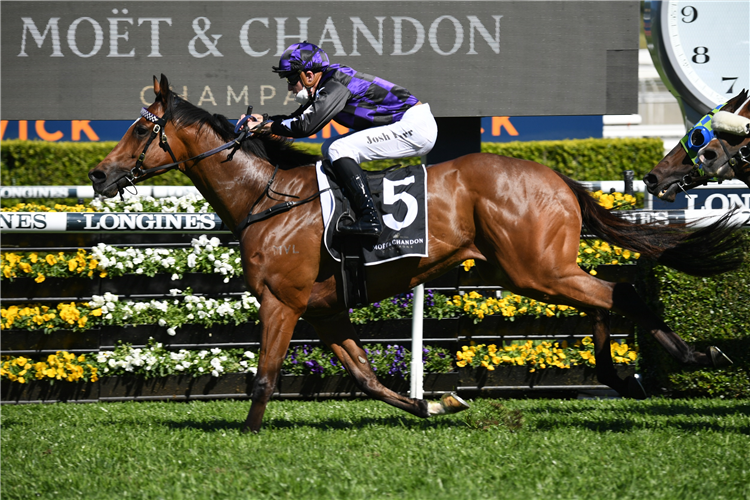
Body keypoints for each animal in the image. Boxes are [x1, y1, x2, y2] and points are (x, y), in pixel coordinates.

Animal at [91, 75, 744, 434]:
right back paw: (632, 371)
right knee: (607, 297)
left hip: (534, 267)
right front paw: (436, 403)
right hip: (531, 271)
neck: (266, 198)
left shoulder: (283, 300)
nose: (99, 173)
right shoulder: (325, 310)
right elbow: (365, 377)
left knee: (620, 291)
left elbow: (265, 376)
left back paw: (691, 355)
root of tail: (554, 176)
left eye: (140, 128)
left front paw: (247, 435)